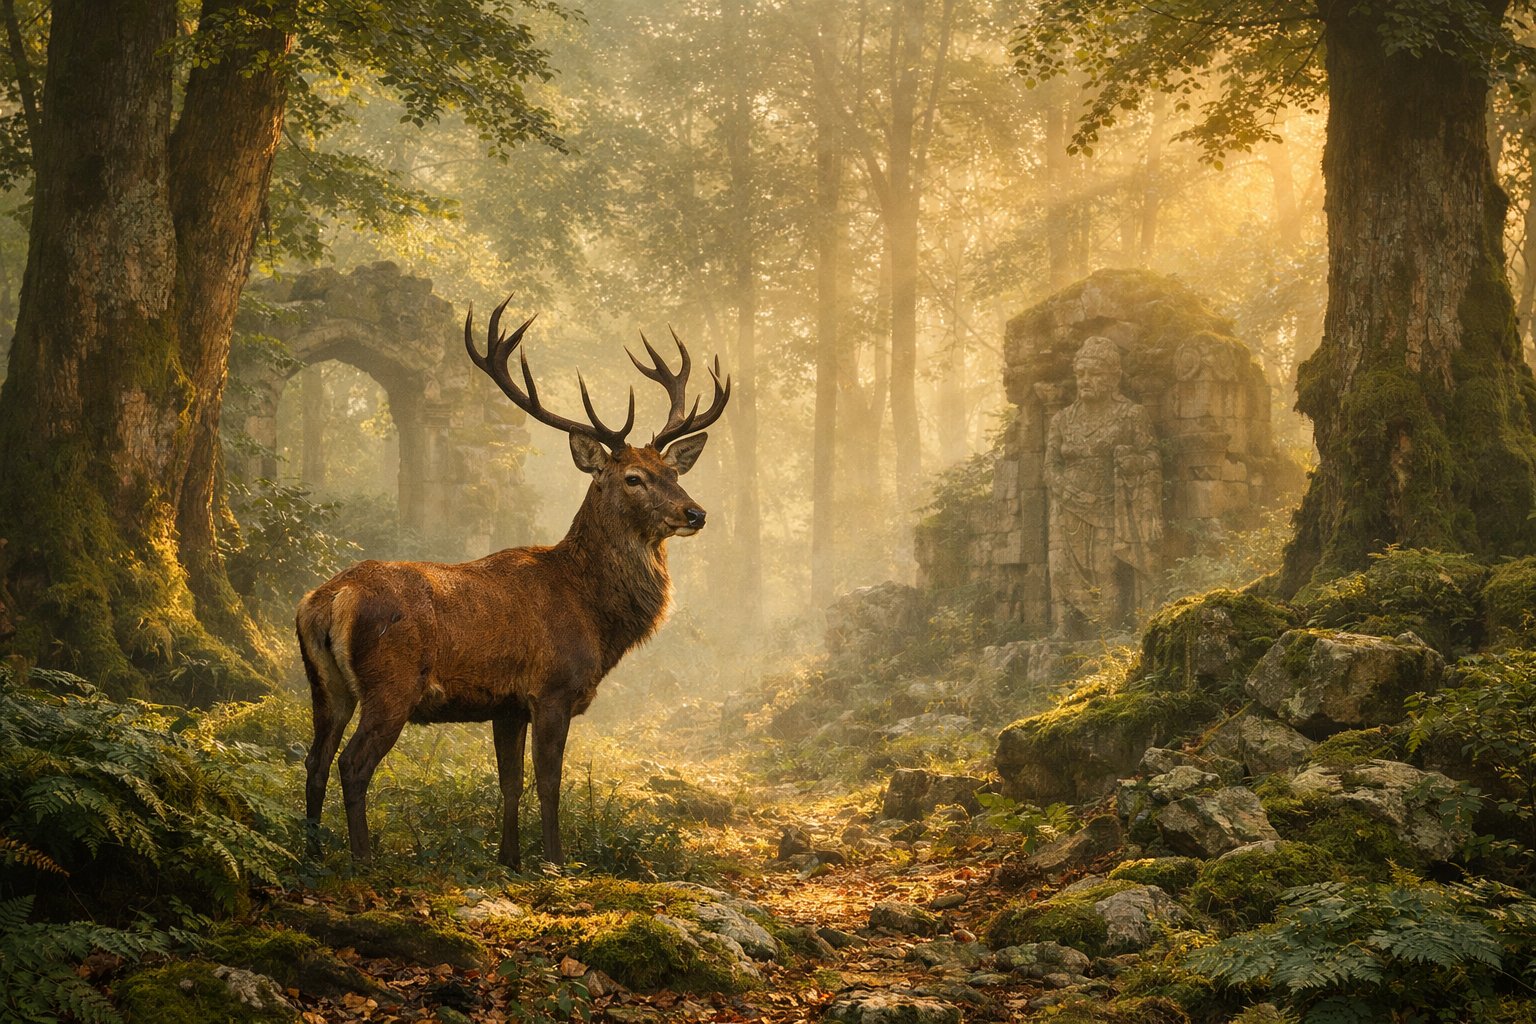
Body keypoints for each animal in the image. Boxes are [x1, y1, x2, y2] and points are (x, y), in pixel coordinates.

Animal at [295, 298, 729, 867]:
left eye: (673, 473)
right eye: (633, 478)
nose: (695, 513)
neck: (594, 615)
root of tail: (327, 600)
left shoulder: (506, 705)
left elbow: (509, 783)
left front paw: (510, 860)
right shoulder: (552, 689)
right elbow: (549, 782)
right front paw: (555, 861)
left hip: (326, 685)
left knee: (313, 761)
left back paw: (311, 856)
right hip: (391, 683)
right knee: (353, 763)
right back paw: (363, 860)